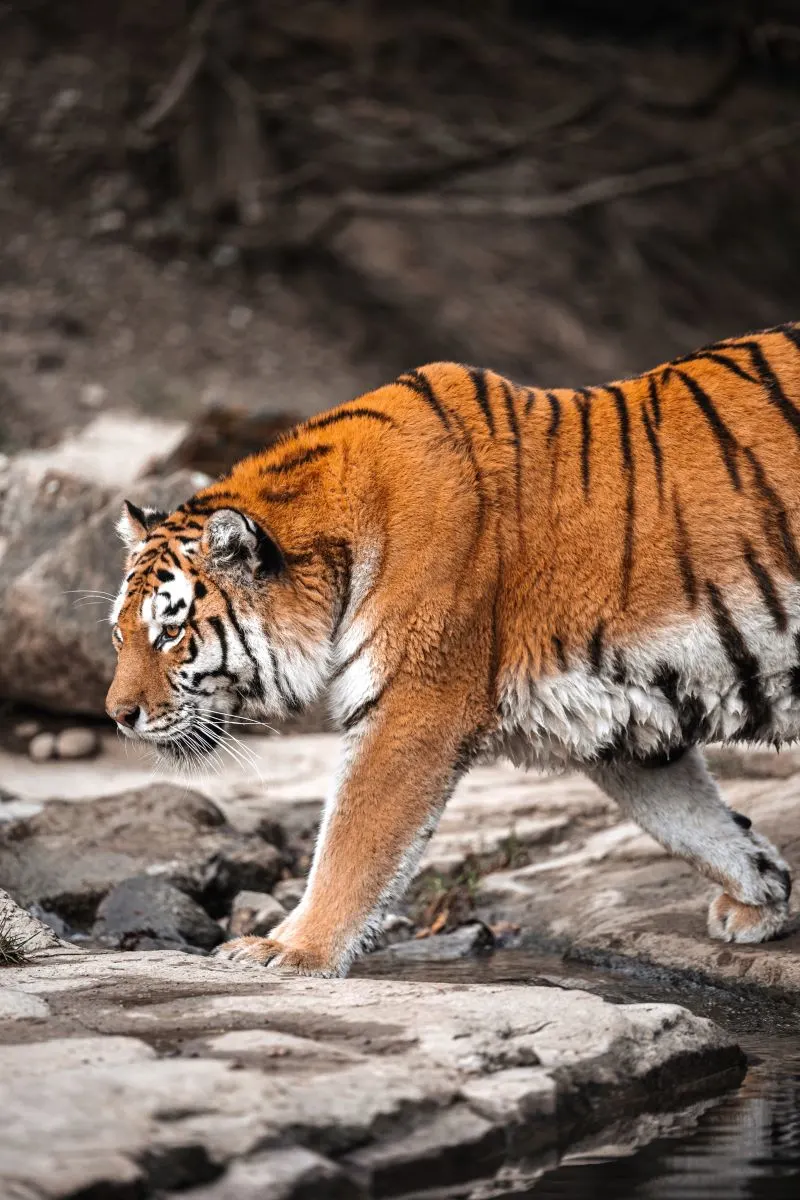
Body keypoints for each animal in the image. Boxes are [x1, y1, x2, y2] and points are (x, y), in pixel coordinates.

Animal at [106, 322, 800, 976]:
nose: (118, 716)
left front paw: (289, 949)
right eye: (121, 635)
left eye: (170, 633)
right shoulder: (621, 711)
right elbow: (690, 821)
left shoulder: (415, 707)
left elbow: (352, 841)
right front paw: (761, 893)